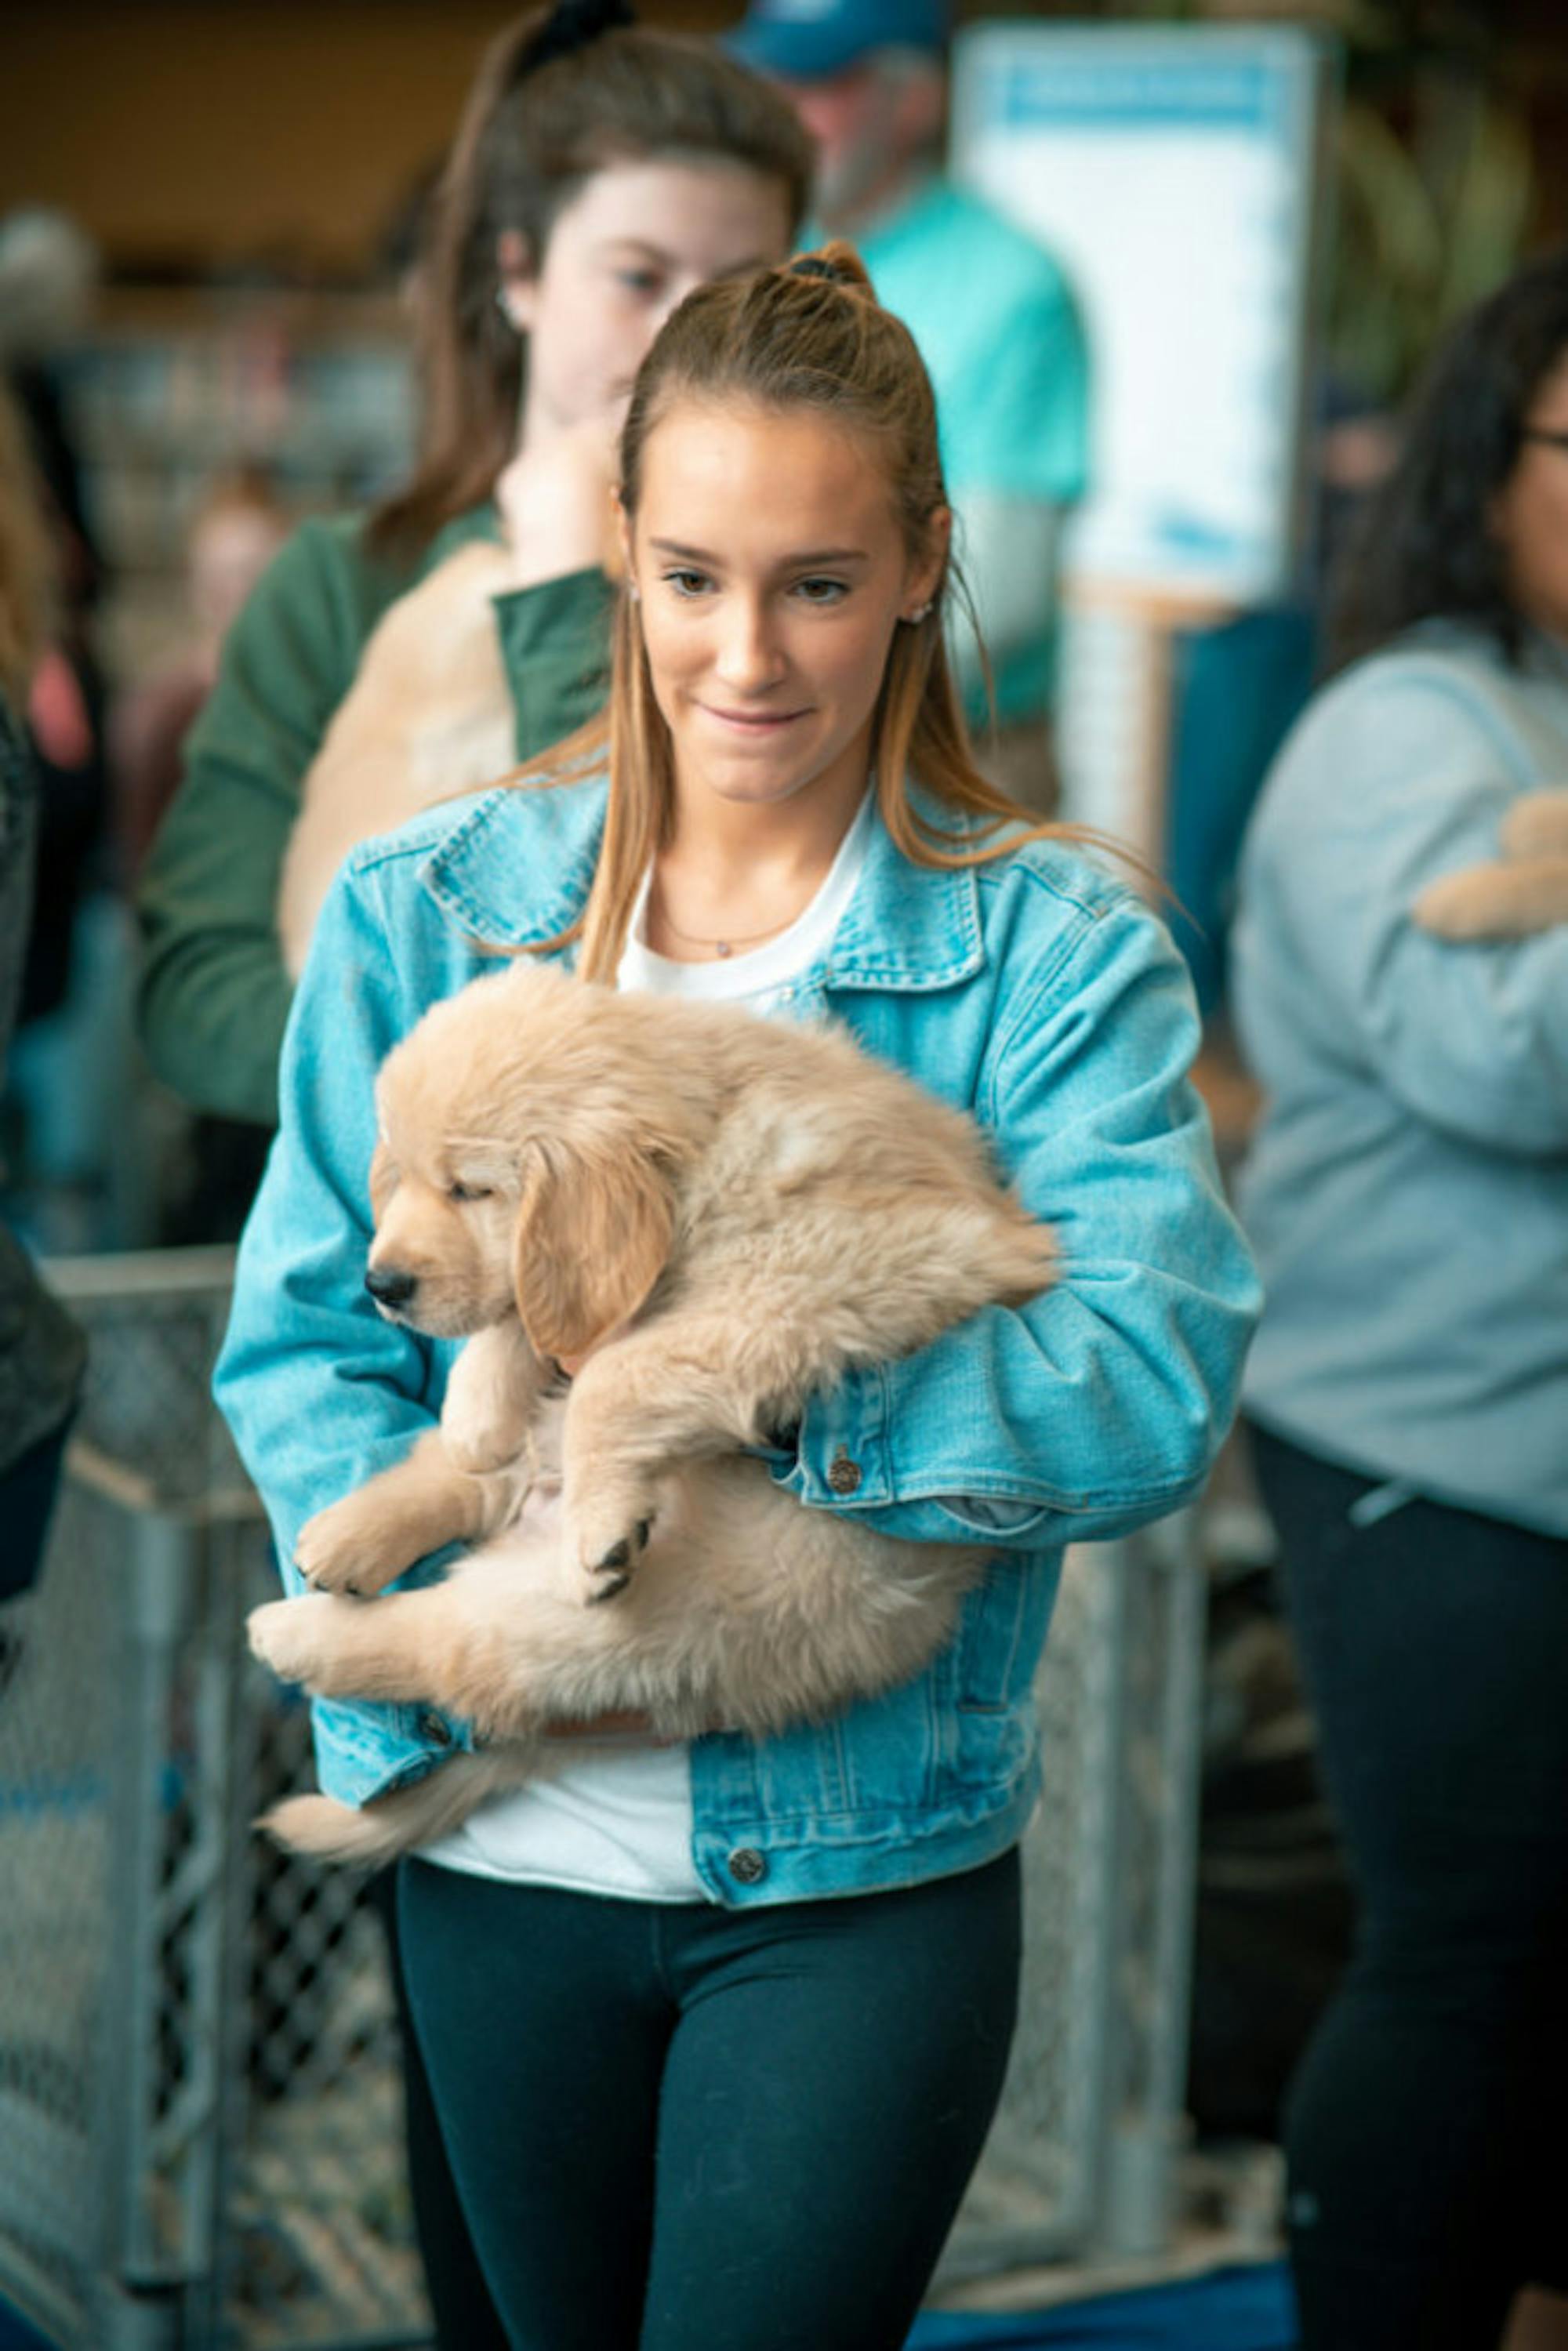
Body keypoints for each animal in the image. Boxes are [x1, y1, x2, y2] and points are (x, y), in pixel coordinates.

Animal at [248, 963, 1053, 1862]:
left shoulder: (831, 1270)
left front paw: (593, 1523)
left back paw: (293, 1629)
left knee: (445, 1637)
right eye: (409, 1180)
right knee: (469, 1482)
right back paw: (353, 1530)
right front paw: (475, 1409)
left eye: (471, 1188)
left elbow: (615, 1368)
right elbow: (533, 1311)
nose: (381, 1284)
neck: (711, 1142)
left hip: (628, 1625)